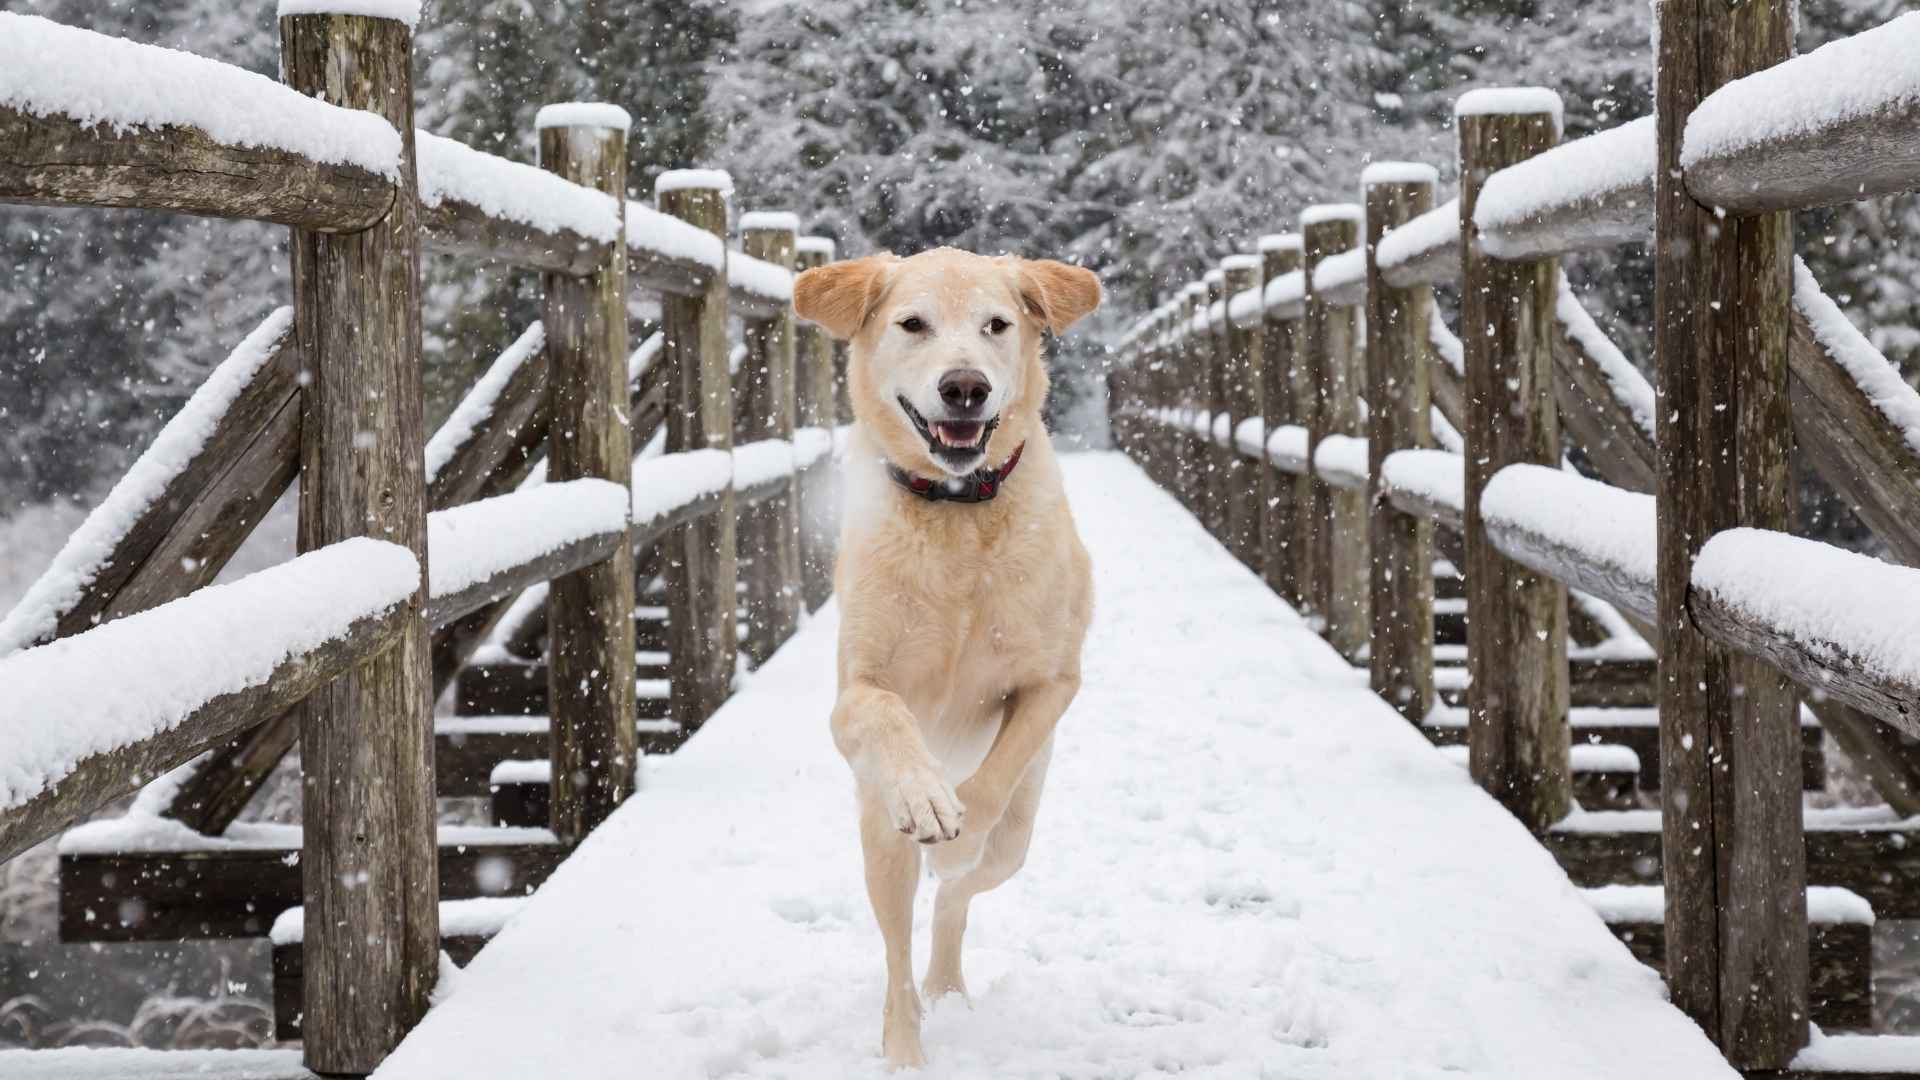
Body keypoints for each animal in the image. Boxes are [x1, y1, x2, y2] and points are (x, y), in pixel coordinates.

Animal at [791, 247, 1098, 1060]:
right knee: (897, 949)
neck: (959, 514)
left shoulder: (1055, 682)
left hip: (1018, 837)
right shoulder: (854, 694)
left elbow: (990, 781)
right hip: (877, 837)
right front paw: (927, 794)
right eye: (913, 324)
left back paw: (948, 978)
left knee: (958, 896)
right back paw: (905, 1046)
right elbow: (886, 714)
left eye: (996, 324)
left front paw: (956, 824)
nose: (966, 387)